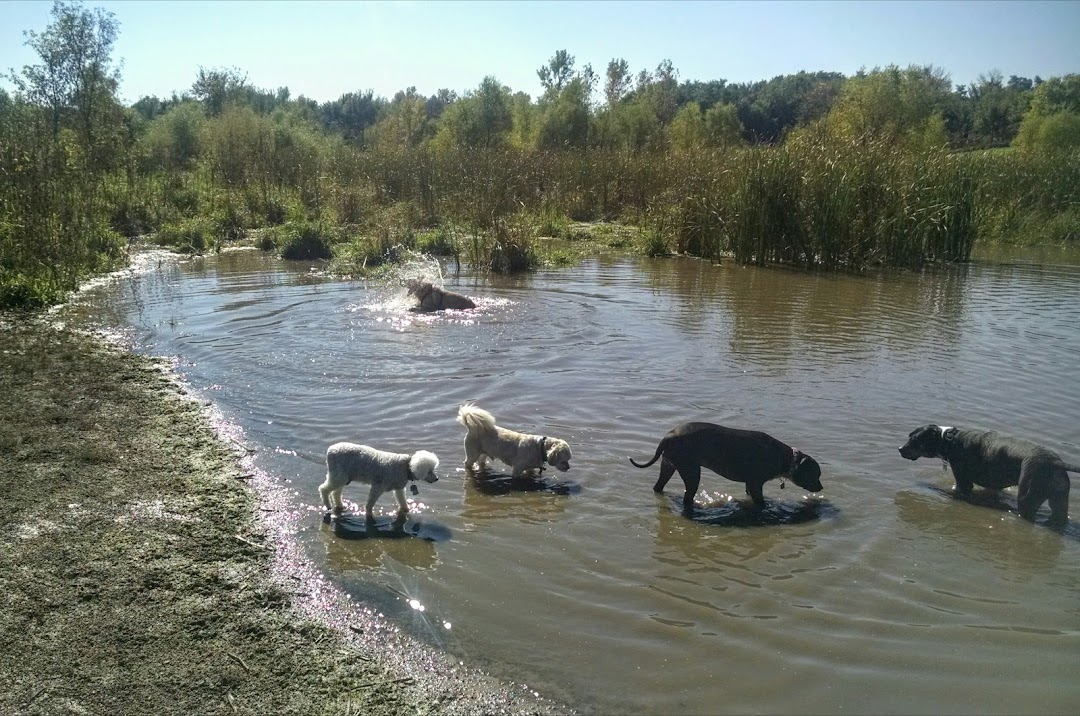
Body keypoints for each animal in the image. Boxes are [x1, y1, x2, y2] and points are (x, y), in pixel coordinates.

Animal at [630, 421, 820, 509]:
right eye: (816, 474)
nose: (821, 487)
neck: (787, 459)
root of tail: (668, 436)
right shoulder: (756, 484)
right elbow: (760, 502)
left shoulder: (750, 484)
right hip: (691, 472)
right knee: (687, 498)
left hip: (668, 466)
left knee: (658, 487)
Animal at [898, 423, 1075, 529]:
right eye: (909, 436)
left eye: (915, 440)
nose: (899, 448)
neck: (948, 439)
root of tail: (1055, 462)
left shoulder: (963, 484)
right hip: (1059, 499)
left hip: (1027, 498)